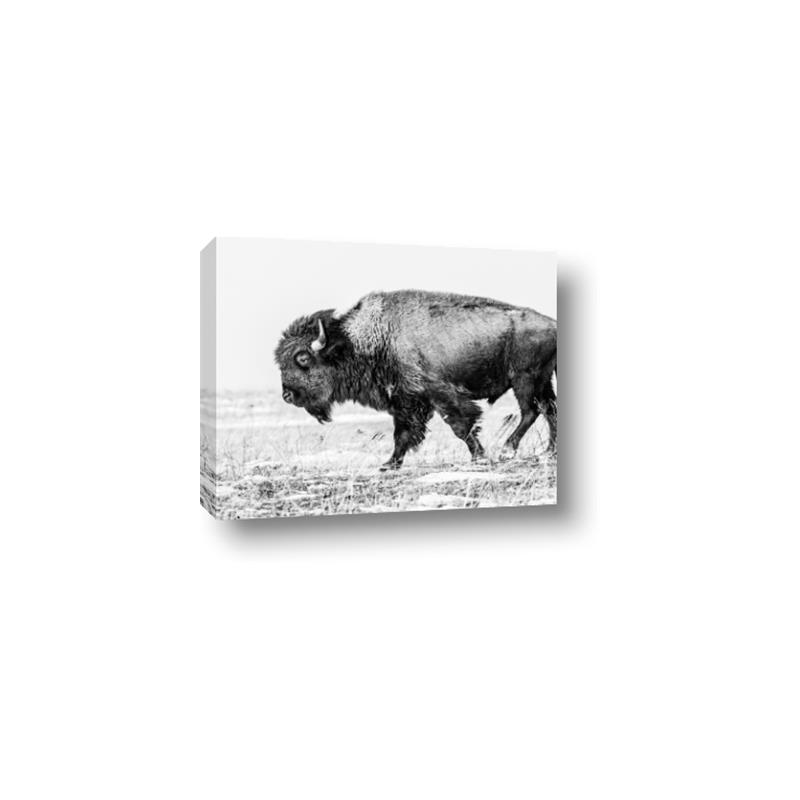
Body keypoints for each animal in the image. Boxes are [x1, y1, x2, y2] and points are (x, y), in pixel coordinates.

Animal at [275, 290, 556, 469]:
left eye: (303, 358)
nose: (287, 395)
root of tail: (552, 325)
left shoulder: (440, 396)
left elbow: (460, 427)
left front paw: (480, 457)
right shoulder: (406, 402)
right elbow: (403, 434)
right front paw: (389, 464)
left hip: (525, 380)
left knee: (532, 411)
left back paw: (508, 450)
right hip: (541, 381)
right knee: (549, 410)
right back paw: (548, 453)